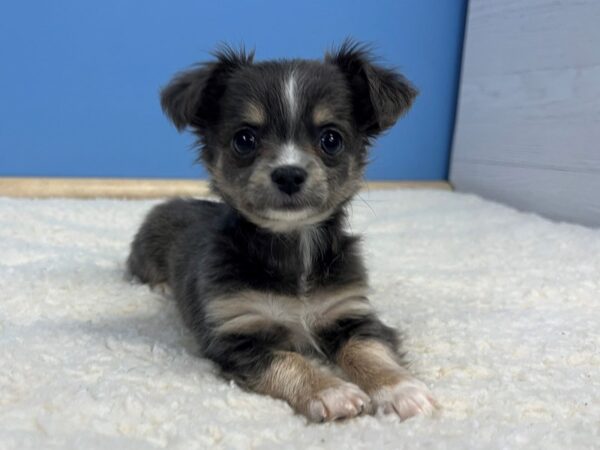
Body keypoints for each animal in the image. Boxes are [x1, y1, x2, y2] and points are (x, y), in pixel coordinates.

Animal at [127, 41, 436, 422]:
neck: (294, 246)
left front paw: (398, 388)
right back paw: (160, 285)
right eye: (245, 139)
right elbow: (288, 360)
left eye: (331, 139)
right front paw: (330, 390)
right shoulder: (237, 335)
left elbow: (368, 349)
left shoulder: (350, 313)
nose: (289, 174)